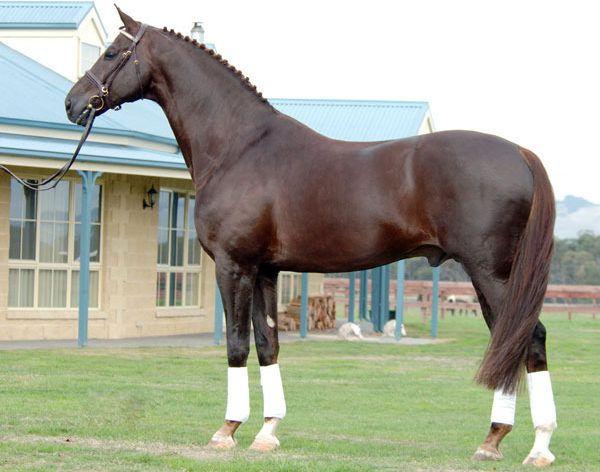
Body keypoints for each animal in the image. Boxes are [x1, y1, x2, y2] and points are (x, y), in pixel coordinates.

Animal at [65, 9, 556, 466]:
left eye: (111, 52)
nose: (73, 104)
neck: (239, 147)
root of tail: (521, 153)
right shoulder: (265, 271)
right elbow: (267, 343)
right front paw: (267, 431)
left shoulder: (233, 266)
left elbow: (236, 343)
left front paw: (227, 430)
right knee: (513, 340)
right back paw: (500, 440)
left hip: (492, 273)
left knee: (527, 338)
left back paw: (530, 445)